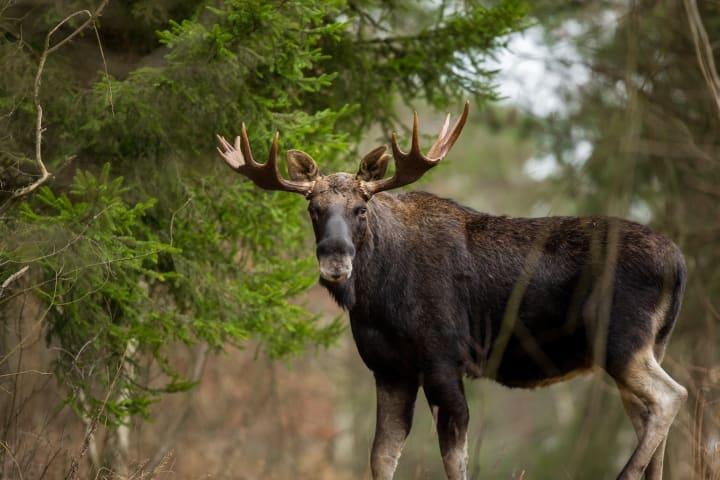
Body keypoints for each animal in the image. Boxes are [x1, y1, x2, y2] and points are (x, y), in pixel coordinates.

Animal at [218, 103, 688, 478]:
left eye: (360, 208)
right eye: (314, 209)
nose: (335, 261)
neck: (378, 300)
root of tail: (679, 263)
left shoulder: (444, 358)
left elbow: (453, 456)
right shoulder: (389, 369)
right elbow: (381, 456)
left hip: (620, 340)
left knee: (670, 396)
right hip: (651, 344)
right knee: (649, 414)